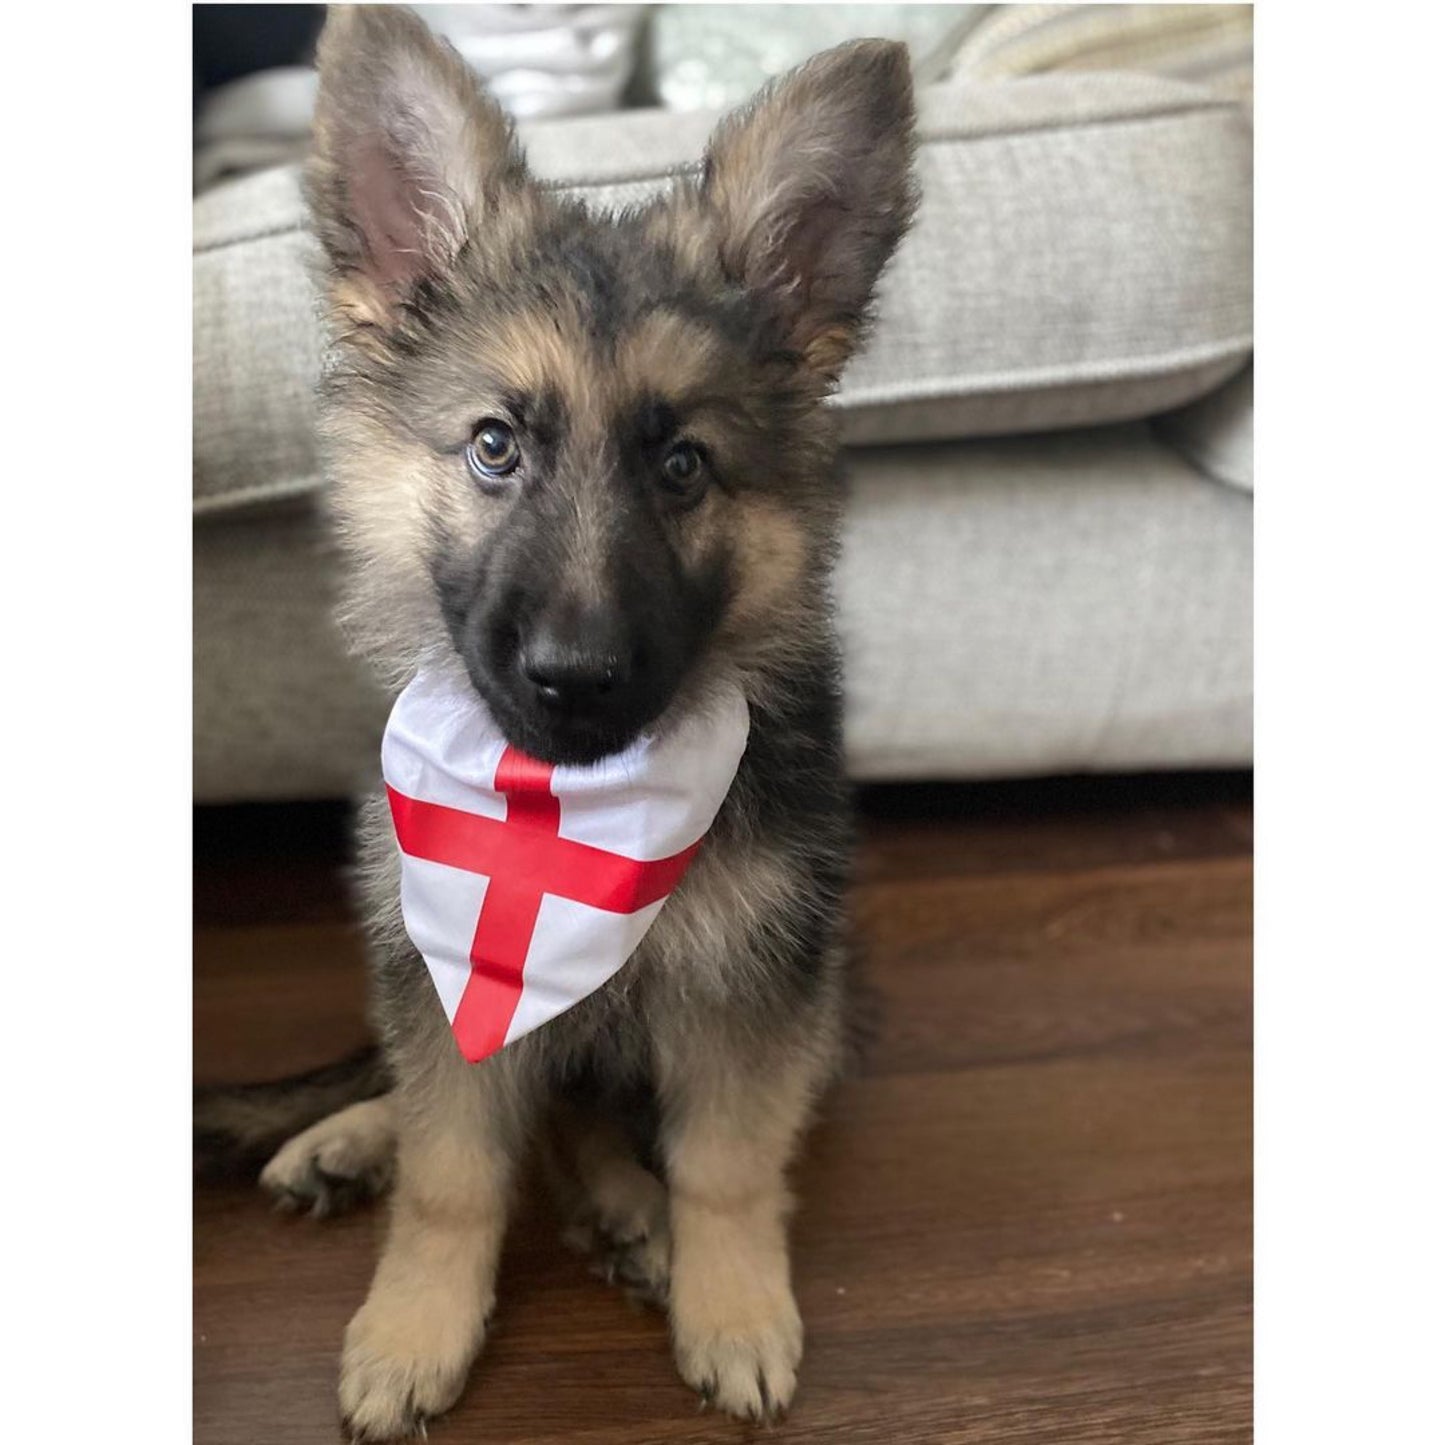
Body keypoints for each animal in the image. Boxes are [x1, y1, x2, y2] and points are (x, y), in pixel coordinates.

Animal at [196, 8, 913, 1433]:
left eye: (681, 465)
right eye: (493, 446)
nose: (572, 679)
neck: (573, 806)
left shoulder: (754, 985)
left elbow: (727, 1162)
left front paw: (731, 1301)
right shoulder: (446, 965)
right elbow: (454, 1167)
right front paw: (414, 1321)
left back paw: (630, 1212)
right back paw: (354, 1140)